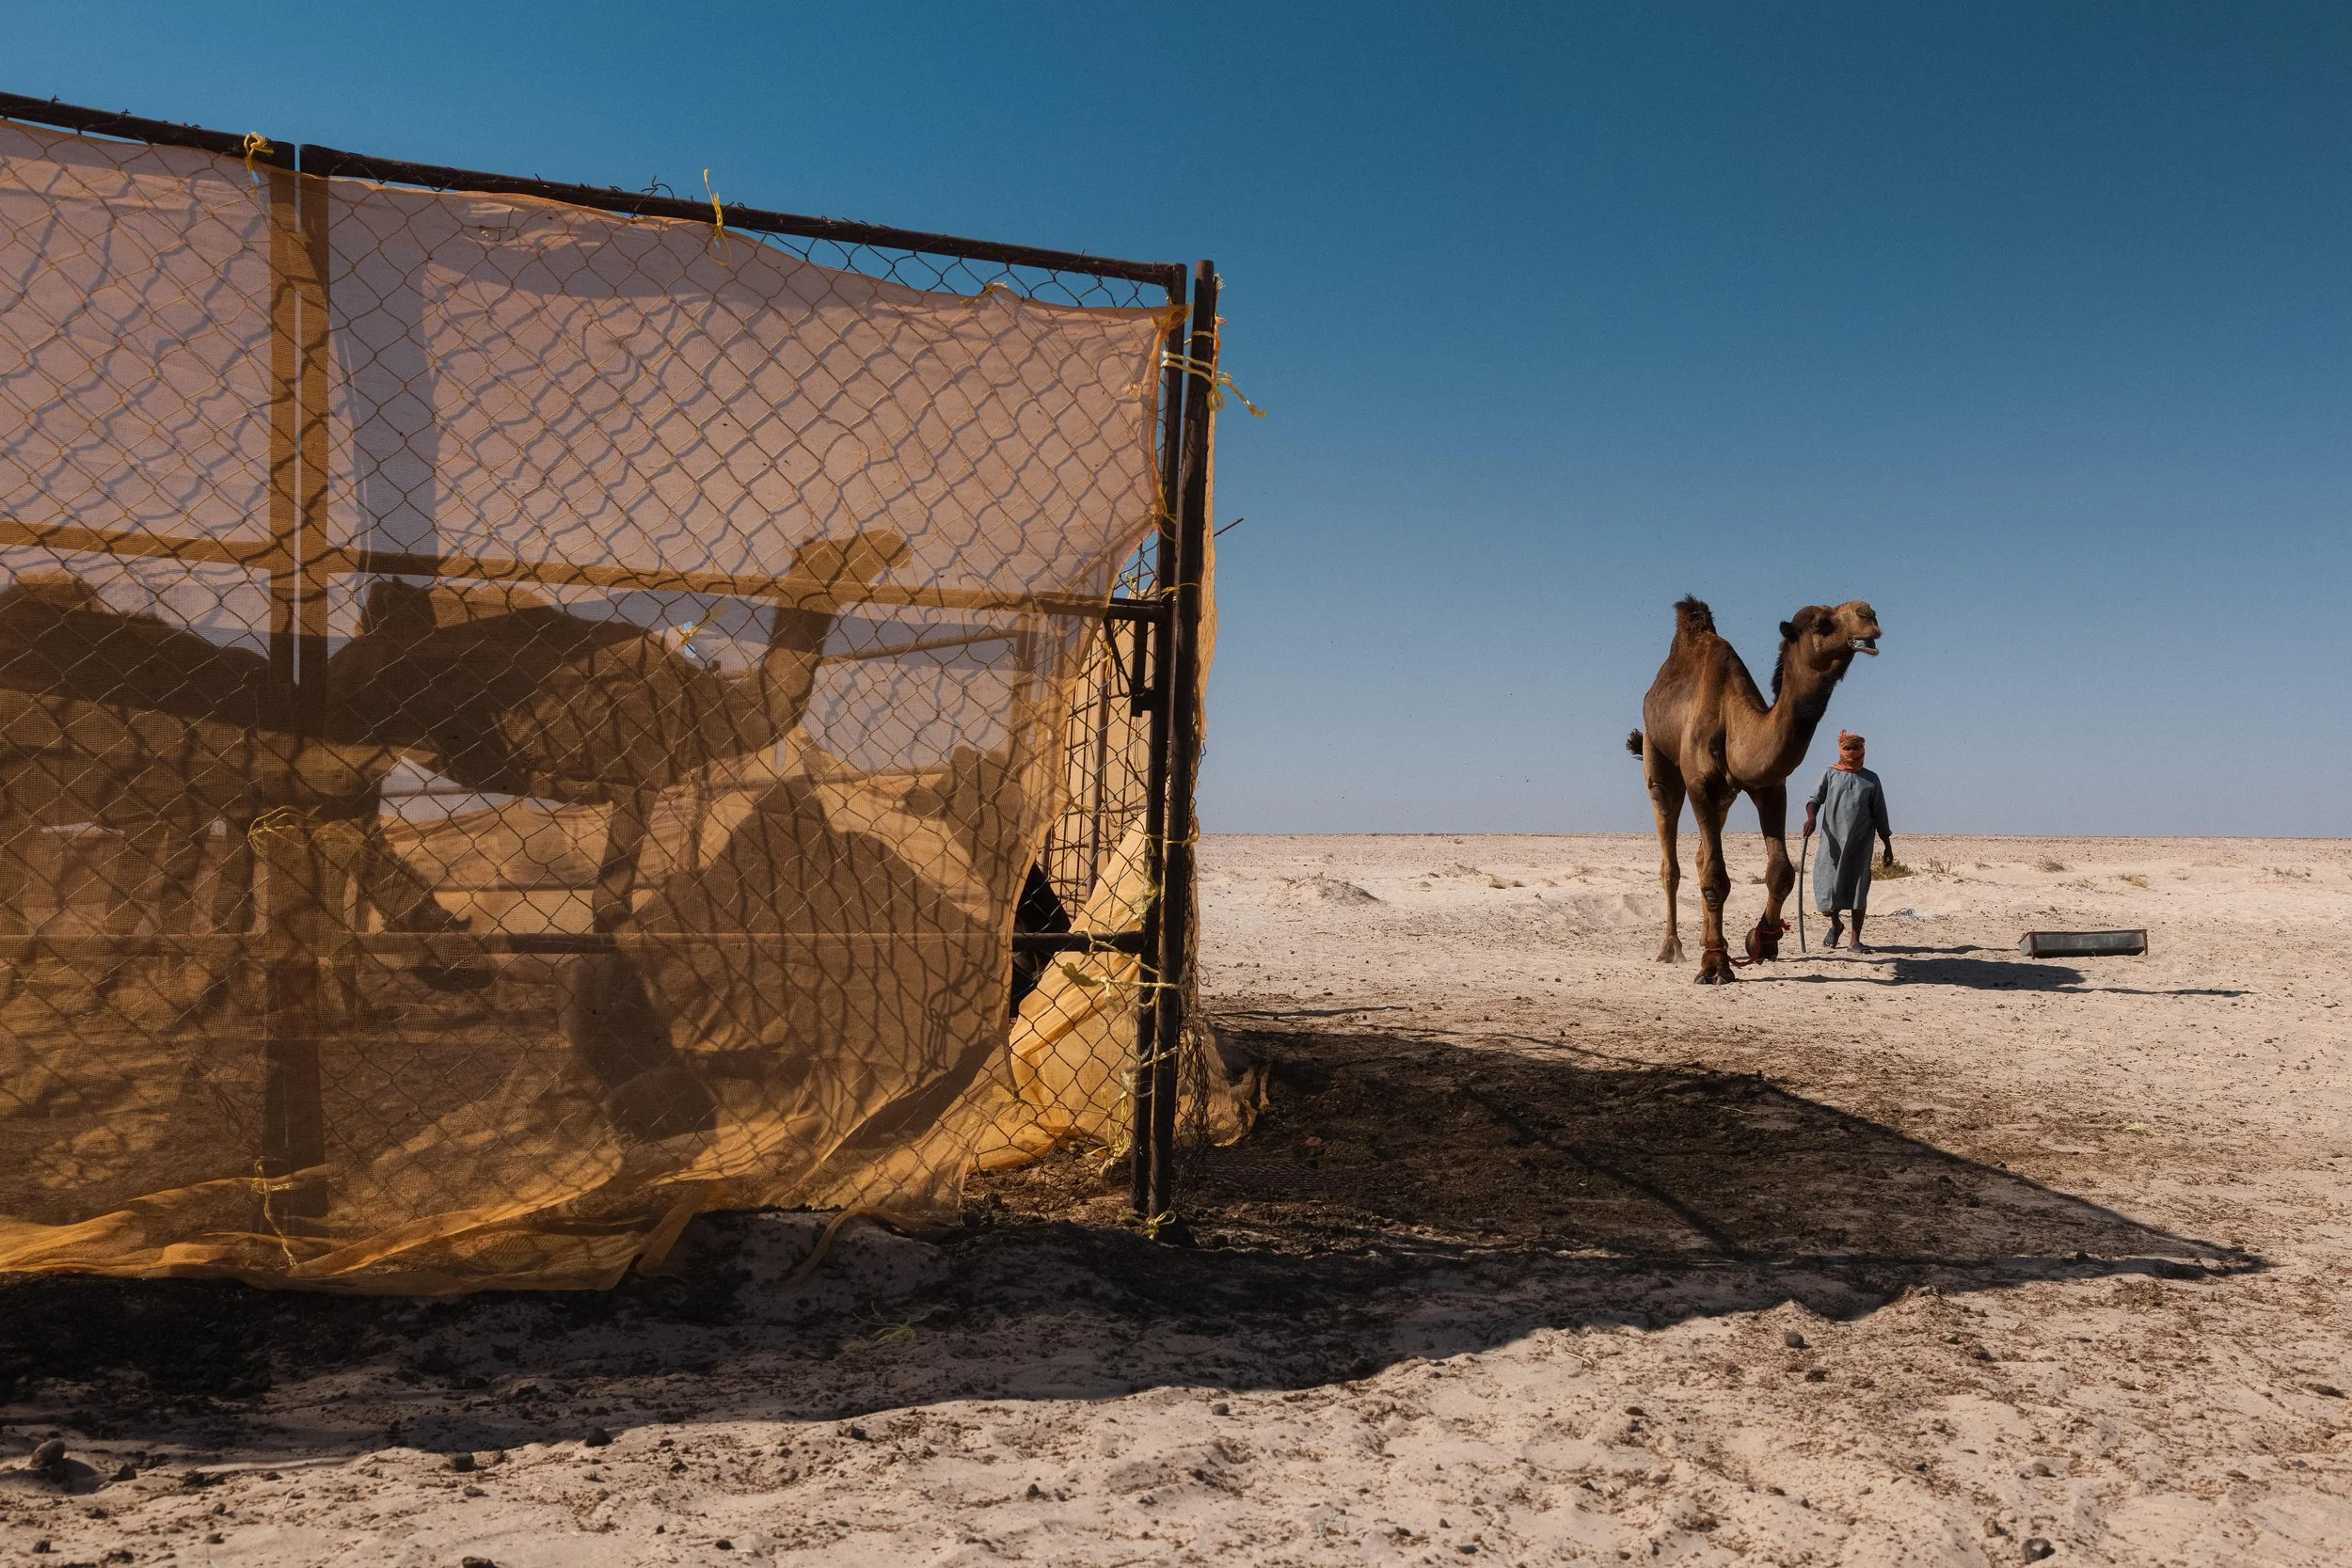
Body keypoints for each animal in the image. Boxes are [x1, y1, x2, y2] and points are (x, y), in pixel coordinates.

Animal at [1625, 595, 1882, 984]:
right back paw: (1673, 949)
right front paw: (1715, 967)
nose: (1869, 614)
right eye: (1822, 624)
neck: (1734, 722)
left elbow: (1781, 872)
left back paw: (1707, 938)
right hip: (1659, 760)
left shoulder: (1770, 786)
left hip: (1725, 799)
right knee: (1671, 856)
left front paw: (1762, 941)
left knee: (1700, 855)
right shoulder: (1700, 784)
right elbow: (1717, 877)